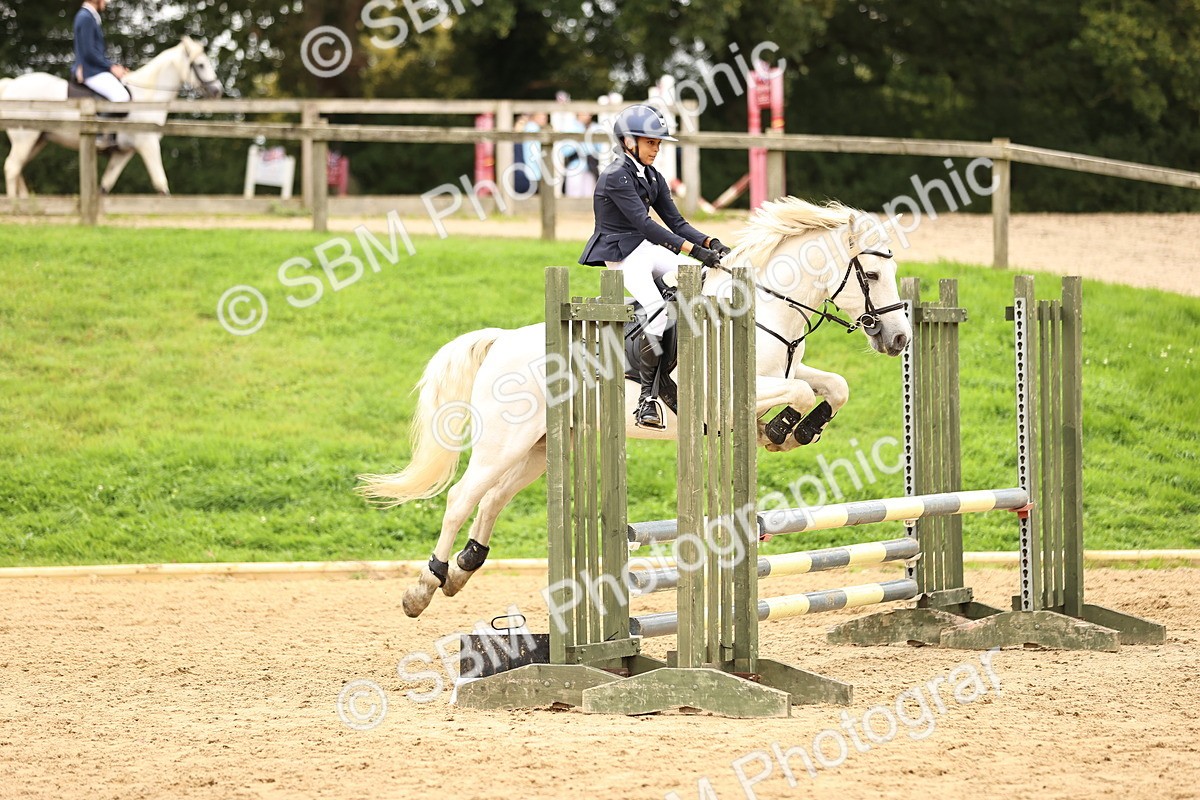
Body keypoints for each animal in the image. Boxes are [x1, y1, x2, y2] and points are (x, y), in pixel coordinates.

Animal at [0, 36, 222, 199]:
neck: (147, 96)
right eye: (201, 65)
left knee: (18, 168)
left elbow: (105, 186)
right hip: (25, 138)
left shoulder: (124, 152)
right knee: (12, 167)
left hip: (38, 140)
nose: (217, 90)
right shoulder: (148, 143)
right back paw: (14, 206)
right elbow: (161, 183)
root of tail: (11, 85)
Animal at [358, 198, 914, 617]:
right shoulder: (739, 389)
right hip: (503, 442)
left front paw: (798, 430)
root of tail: (501, 343)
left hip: (538, 447)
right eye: (870, 273)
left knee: (492, 499)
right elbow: (798, 395)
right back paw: (424, 587)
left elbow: (834, 386)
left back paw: (462, 571)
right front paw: (778, 431)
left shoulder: (786, 372)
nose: (899, 338)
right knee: (461, 498)